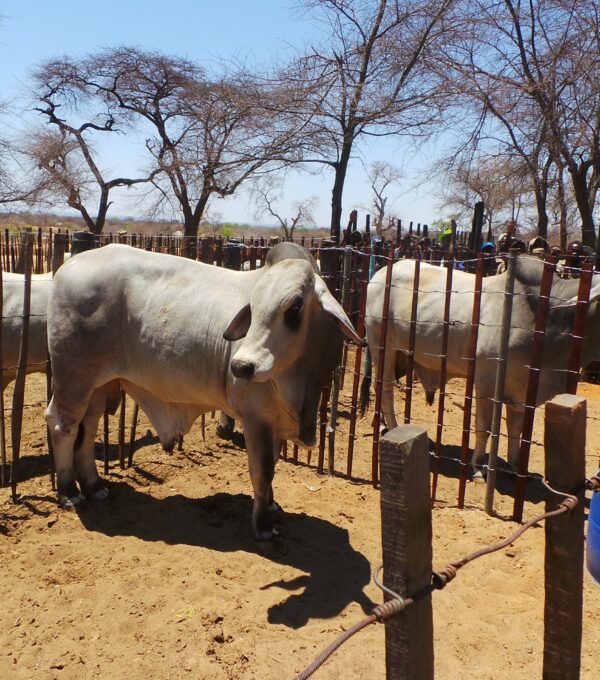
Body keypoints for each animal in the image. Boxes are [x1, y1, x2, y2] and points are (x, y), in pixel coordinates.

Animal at [44, 242, 362, 544]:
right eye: (254, 306)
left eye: (295, 307)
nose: (241, 366)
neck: (301, 382)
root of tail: (68, 265)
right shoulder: (256, 419)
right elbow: (262, 471)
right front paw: (263, 525)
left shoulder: (273, 423)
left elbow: (272, 465)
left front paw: (272, 506)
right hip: (73, 379)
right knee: (63, 426)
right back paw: (69, 492)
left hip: (97, 386)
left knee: (87, 429)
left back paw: (94, 486)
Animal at [364, 257, 600, 478]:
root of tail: (380, 274)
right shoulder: (486, 381)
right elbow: (484, 428)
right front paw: (478, 468)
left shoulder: (521, 392)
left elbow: (515, 430)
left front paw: (514, 466)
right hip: (381, 347)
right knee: (385, 389)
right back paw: (394, 428)